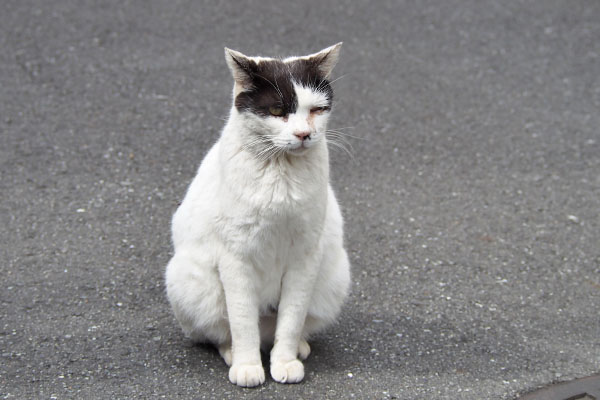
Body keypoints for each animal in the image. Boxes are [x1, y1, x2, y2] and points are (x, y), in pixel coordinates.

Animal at [164, 43, 352, 388]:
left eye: (316, 110)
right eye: (277, 111)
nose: (304, 134)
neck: (281, 172)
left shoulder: (305, 257)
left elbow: (291, 319)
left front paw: (285, 362)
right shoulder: (235, 257)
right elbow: (241, 321)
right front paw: (248, 367)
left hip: (334, 277)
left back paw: (296, 348)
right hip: (188, 280)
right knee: (222, 331)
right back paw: (232, 353)